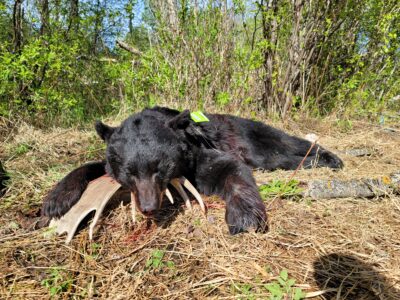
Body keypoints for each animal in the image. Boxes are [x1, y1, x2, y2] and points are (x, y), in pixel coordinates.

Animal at [40, 106, 342, 234]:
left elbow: (231, 170)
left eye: (160, 167)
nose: (148, 207)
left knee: (285, 145)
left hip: (251, 136)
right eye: (129, 172)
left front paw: (244, 217)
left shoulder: (199, 157)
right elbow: (90, 166)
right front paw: (54, 202)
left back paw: (328, 158)